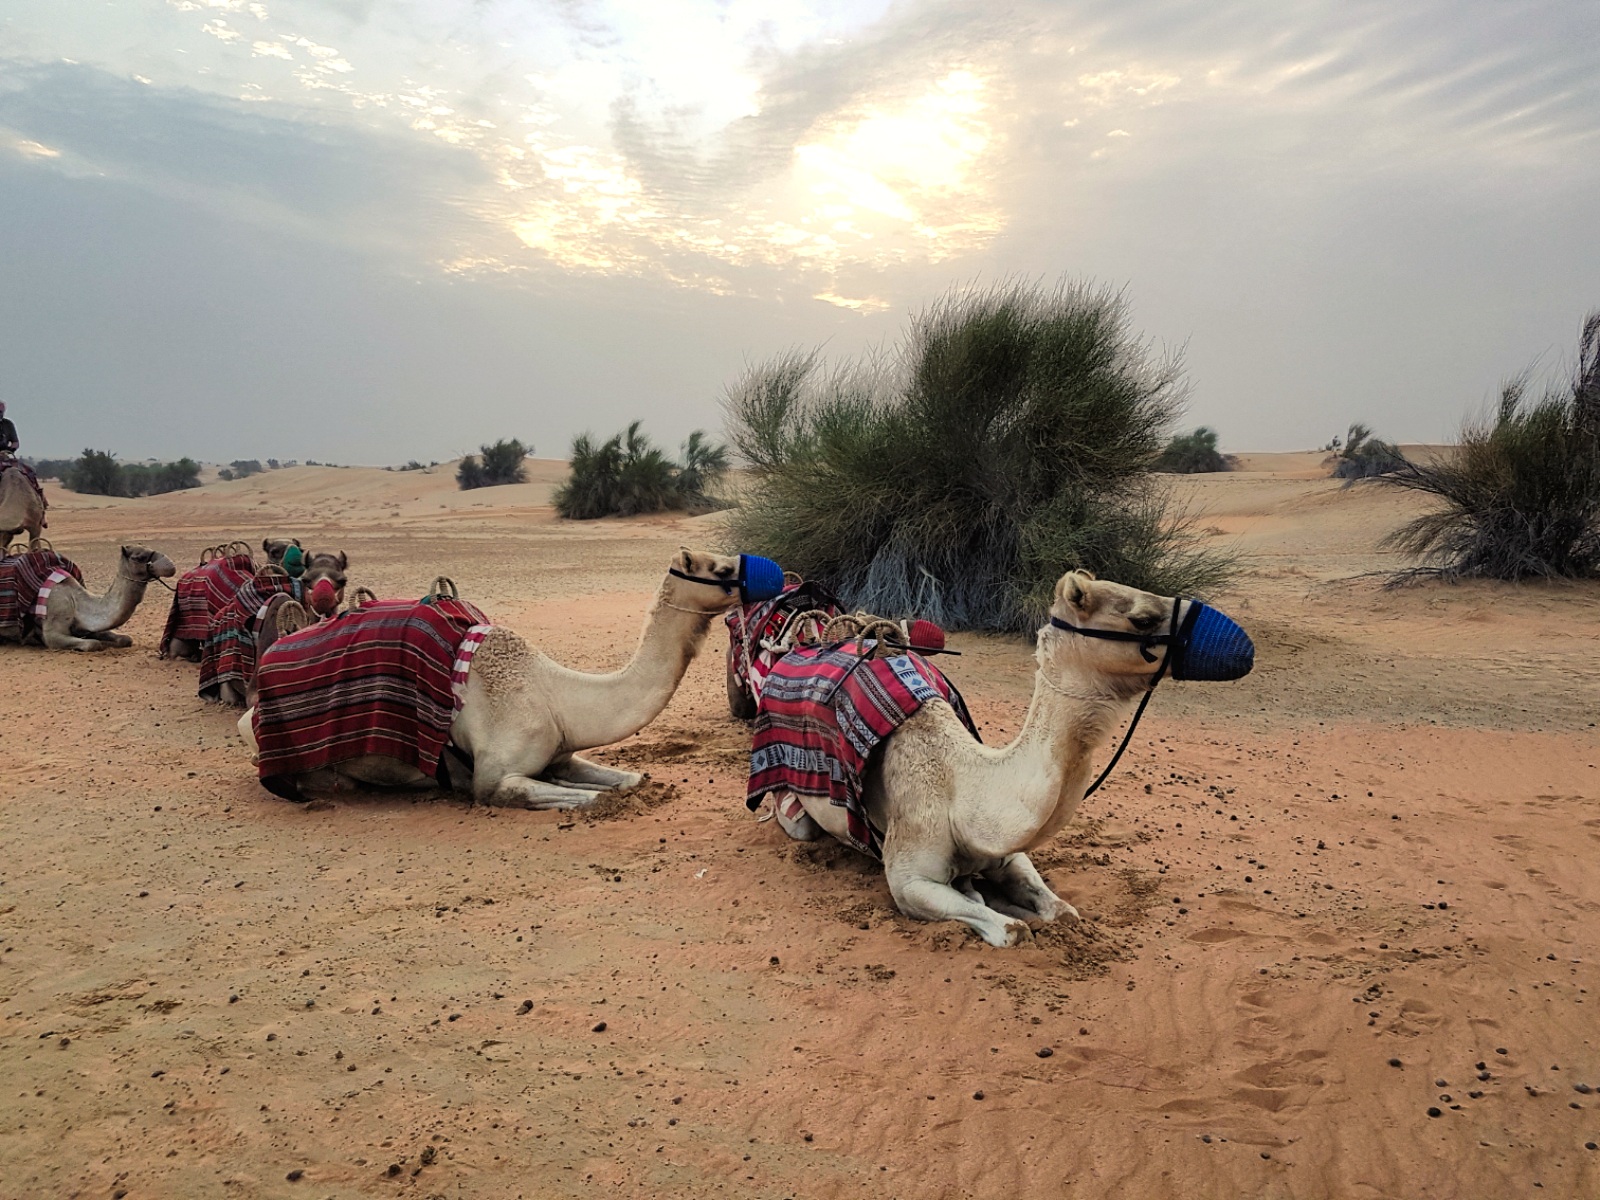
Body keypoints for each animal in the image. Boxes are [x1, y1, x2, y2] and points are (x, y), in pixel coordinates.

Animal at [1, 550, 177, 652]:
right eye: (138, 557)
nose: (170, 565)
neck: (76, 602)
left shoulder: (87, 626)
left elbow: (125, 639)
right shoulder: (53, 630)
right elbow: (93, 644)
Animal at [238, 550, 780, 812]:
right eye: (722, 569)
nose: (775, 574)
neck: (557, 694)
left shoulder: (561, 750)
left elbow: (629, 779)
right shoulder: (494, 776)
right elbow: (586, 799)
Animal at [768, 569, 1254, 947]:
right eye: (1143, 617)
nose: (1243, 646)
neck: (963, 787)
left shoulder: (1008, 853)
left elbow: (1063, 912)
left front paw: (1003, 898)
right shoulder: (908, 879)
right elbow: (1010, 929)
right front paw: (994, 907)